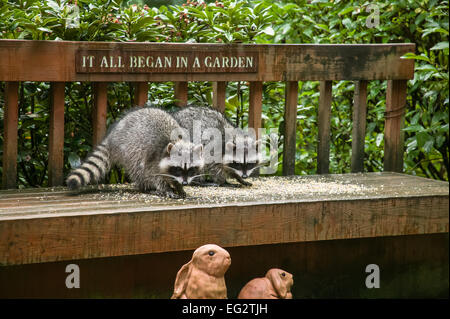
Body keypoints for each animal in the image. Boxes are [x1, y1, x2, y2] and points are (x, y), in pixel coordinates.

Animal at [65, 107, 204, 198]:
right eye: (178, 169)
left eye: (191, 169)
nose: (185, 183)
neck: (175, 141)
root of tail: (113, 136)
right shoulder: (153, 158)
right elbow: (153, 175)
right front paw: (166, 189)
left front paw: (178, 187)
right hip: (129, 148)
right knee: (138, 169)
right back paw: (146, 188)